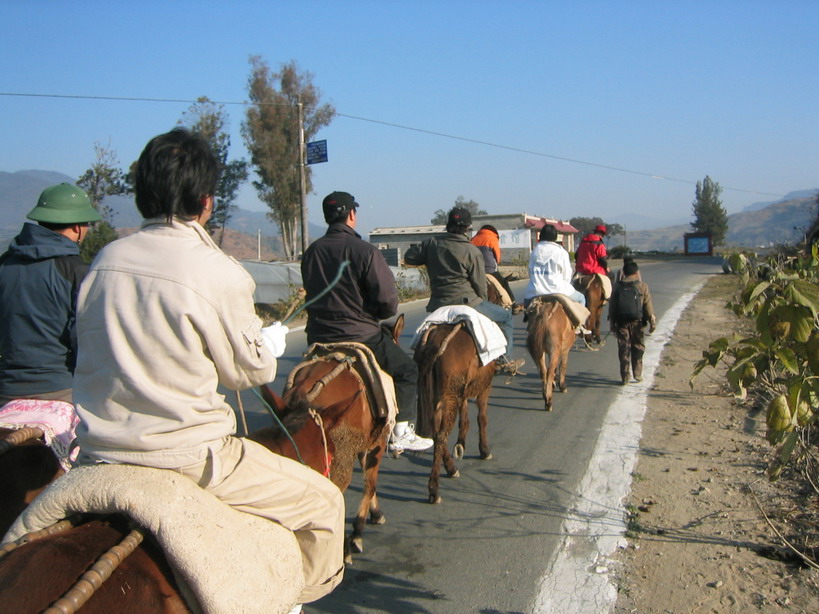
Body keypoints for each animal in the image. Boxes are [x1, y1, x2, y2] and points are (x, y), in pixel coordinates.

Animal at [416, 322, 494, 506]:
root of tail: (433, 342)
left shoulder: (462, 393)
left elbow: (464, 419)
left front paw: (460, 444)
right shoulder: (484, 387)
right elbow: (482, 418)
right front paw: (484, 450)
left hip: (437, 397)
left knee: (437, 433)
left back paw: (451, 469)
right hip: (450, 396)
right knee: (441, 435)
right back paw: (434, 490)